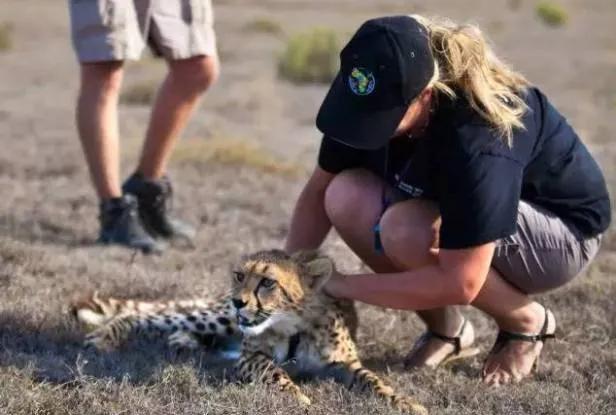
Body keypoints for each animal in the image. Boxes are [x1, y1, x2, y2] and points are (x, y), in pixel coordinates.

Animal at [71, 249, 428, 414]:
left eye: (268, 282)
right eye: (240, 275)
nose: (238, 300)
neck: (296, 328)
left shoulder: (345, 363)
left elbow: (374, 380)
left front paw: (406, 402)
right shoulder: (250, 356)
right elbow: (275, 372)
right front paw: (299, 399)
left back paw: (183, 341)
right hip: (219, 319)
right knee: (147, 317)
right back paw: (104, 337)